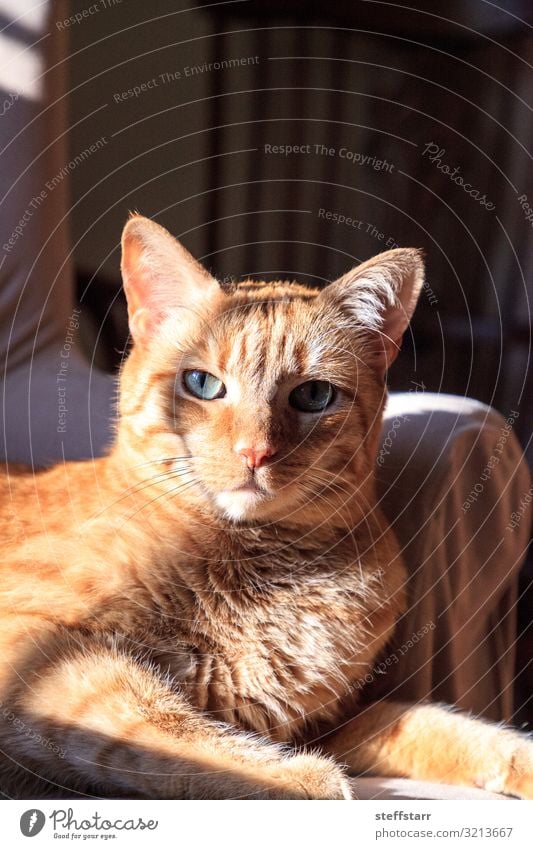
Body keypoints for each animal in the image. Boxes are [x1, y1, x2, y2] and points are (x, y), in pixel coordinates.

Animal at [0, 215, 528, 800]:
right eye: (202, 383)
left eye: (314, 396)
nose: (255, 452)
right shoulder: (36, 646)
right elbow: (158, 728)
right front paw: (302, 779)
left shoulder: (333, 723)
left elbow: (432, 725)